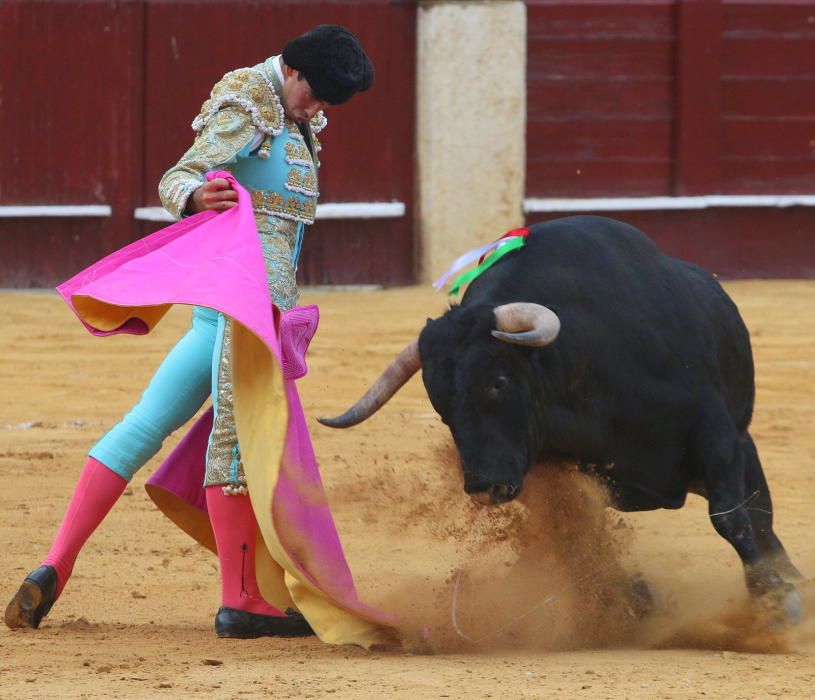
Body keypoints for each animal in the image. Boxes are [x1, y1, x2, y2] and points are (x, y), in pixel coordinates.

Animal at [318, 216, 804, 616]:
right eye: (441, 408)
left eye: (499, 382)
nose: (484, 487)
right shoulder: (546, 469)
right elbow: (576, 535)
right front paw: (634, 598)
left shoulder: (716, 433)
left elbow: (730, 517)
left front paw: (777, 600)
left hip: (742, 442)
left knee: (758, 512)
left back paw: (792, 581)